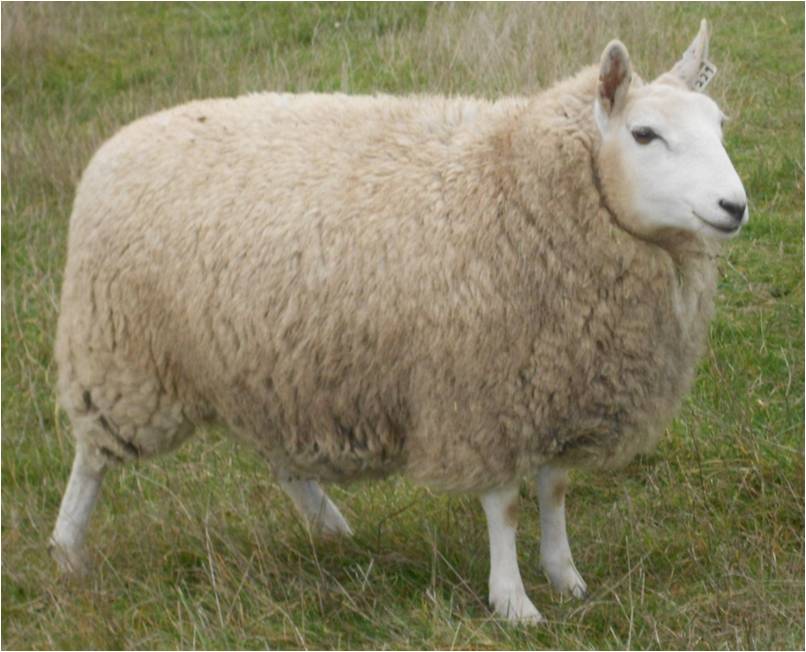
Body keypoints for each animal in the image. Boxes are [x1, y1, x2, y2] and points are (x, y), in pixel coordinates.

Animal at [50, 20, 747, 624]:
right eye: (645, 134)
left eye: (719, 125)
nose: (734, 206)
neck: (516, 181)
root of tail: (118, 143)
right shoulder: (483, 393)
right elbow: (507, 505)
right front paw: (513, 602)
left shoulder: (558, 379)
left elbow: (553, 491)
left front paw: (565, 576)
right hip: (121, 357)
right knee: (91, 459)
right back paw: (66, 553)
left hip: (269, 367)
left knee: (282, 462)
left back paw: (331, 528)